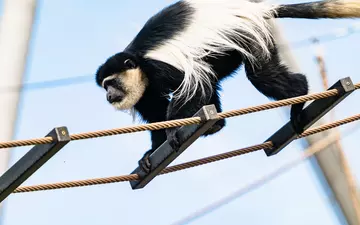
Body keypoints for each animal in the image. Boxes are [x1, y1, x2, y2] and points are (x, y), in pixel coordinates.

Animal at [95, 0, 360, 172]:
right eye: (105, 86)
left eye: (112, 83)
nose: (109, 95)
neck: (139, 62)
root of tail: (255, 8)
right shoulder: (146, 92)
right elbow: (156, 115)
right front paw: (150, 155)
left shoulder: (159, 68)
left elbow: (194, 85)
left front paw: (172, 133)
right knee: (213, 77)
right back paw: (215, 124)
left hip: (247, 36)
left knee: (258, 75)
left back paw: (299, 97)